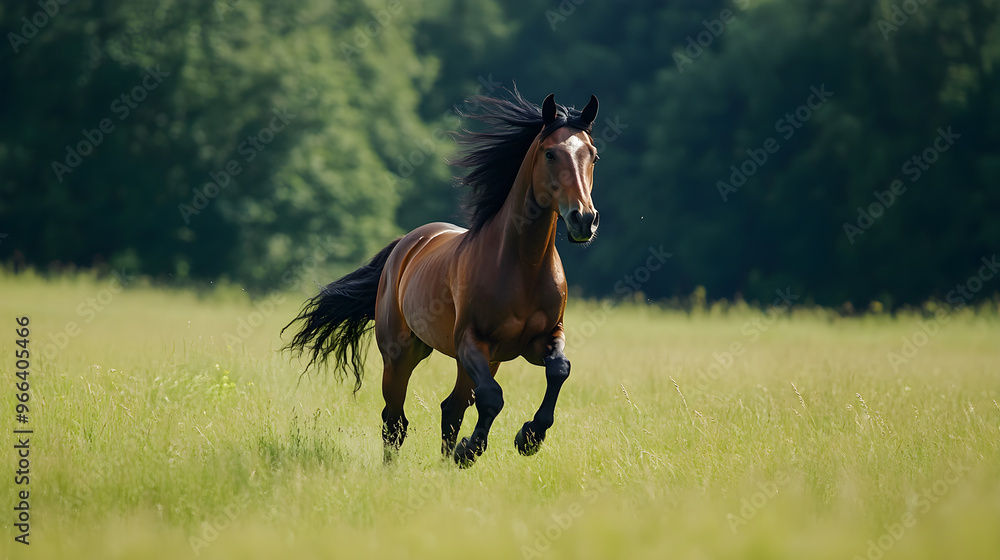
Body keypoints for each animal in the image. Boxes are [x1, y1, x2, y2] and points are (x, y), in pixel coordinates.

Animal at [283, 91, 600, 467]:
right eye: (550, 153)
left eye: (593, 155)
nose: (584, 219)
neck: (524, 266)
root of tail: (406, 244)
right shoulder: (471, 341)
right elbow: (492, 397)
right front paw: (472, 449)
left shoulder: (542, 339)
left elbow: (559, 370)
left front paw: (529, 437)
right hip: (401, 355)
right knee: (395, 420)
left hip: (482, 359)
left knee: (450, 408)